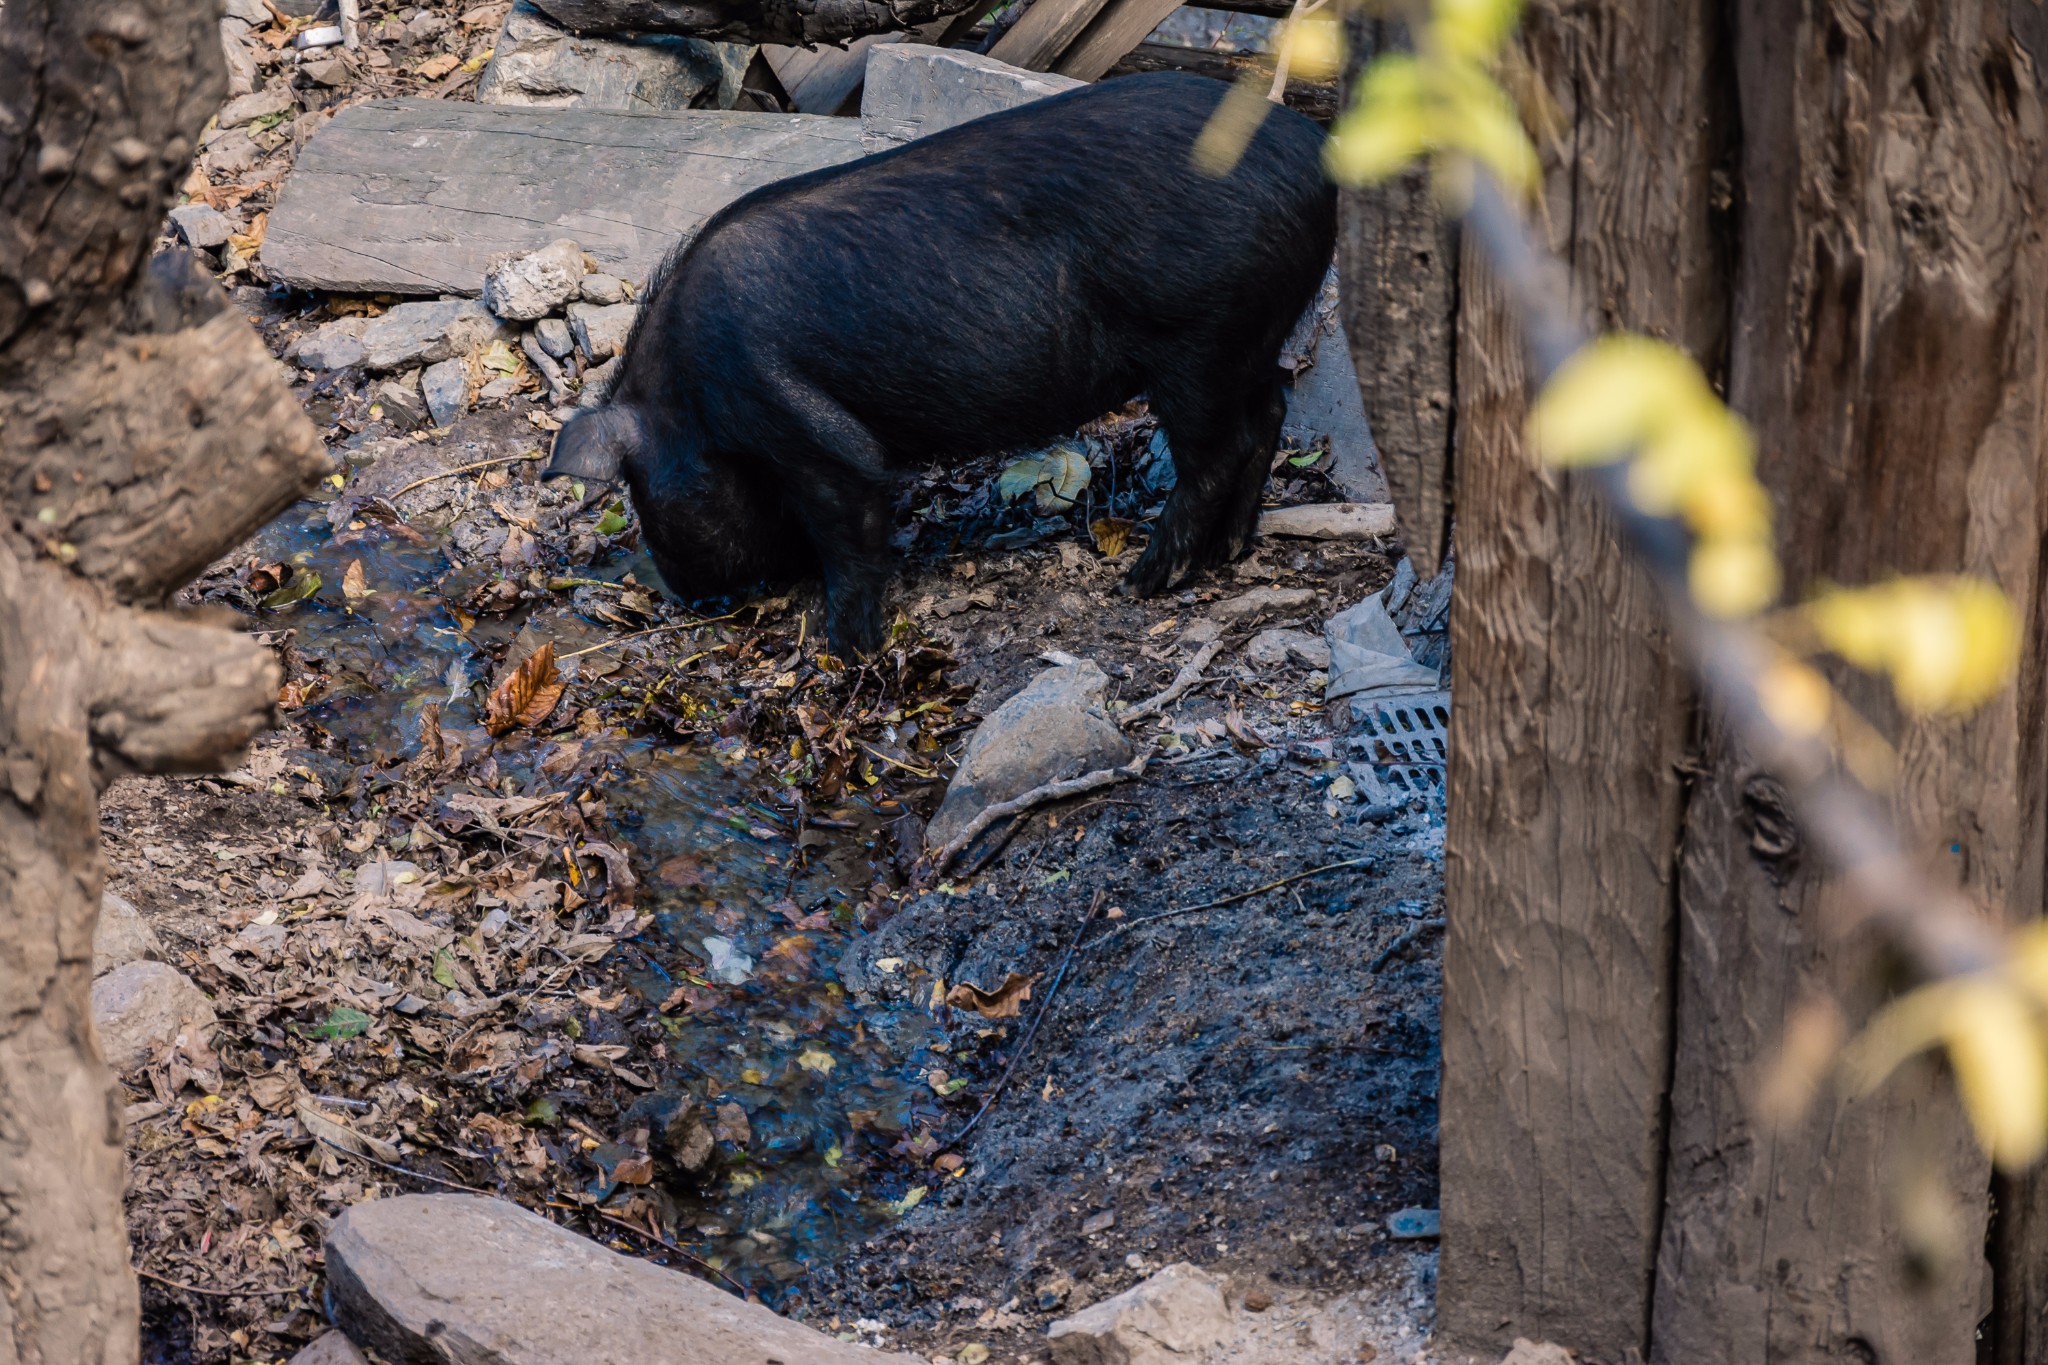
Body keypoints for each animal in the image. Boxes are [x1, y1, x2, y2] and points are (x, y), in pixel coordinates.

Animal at [548, 69, 1343, 654]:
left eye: (641, 494)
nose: (689, 595)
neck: (690, 397)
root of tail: (1318, 158)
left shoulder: (805, 429)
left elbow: (852, 522)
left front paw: (847, 649)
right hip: (1248, 335)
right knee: (1271, 407)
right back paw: (1232, 550)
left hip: (1199, 340)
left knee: (1218, 452)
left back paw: (1143, 581)